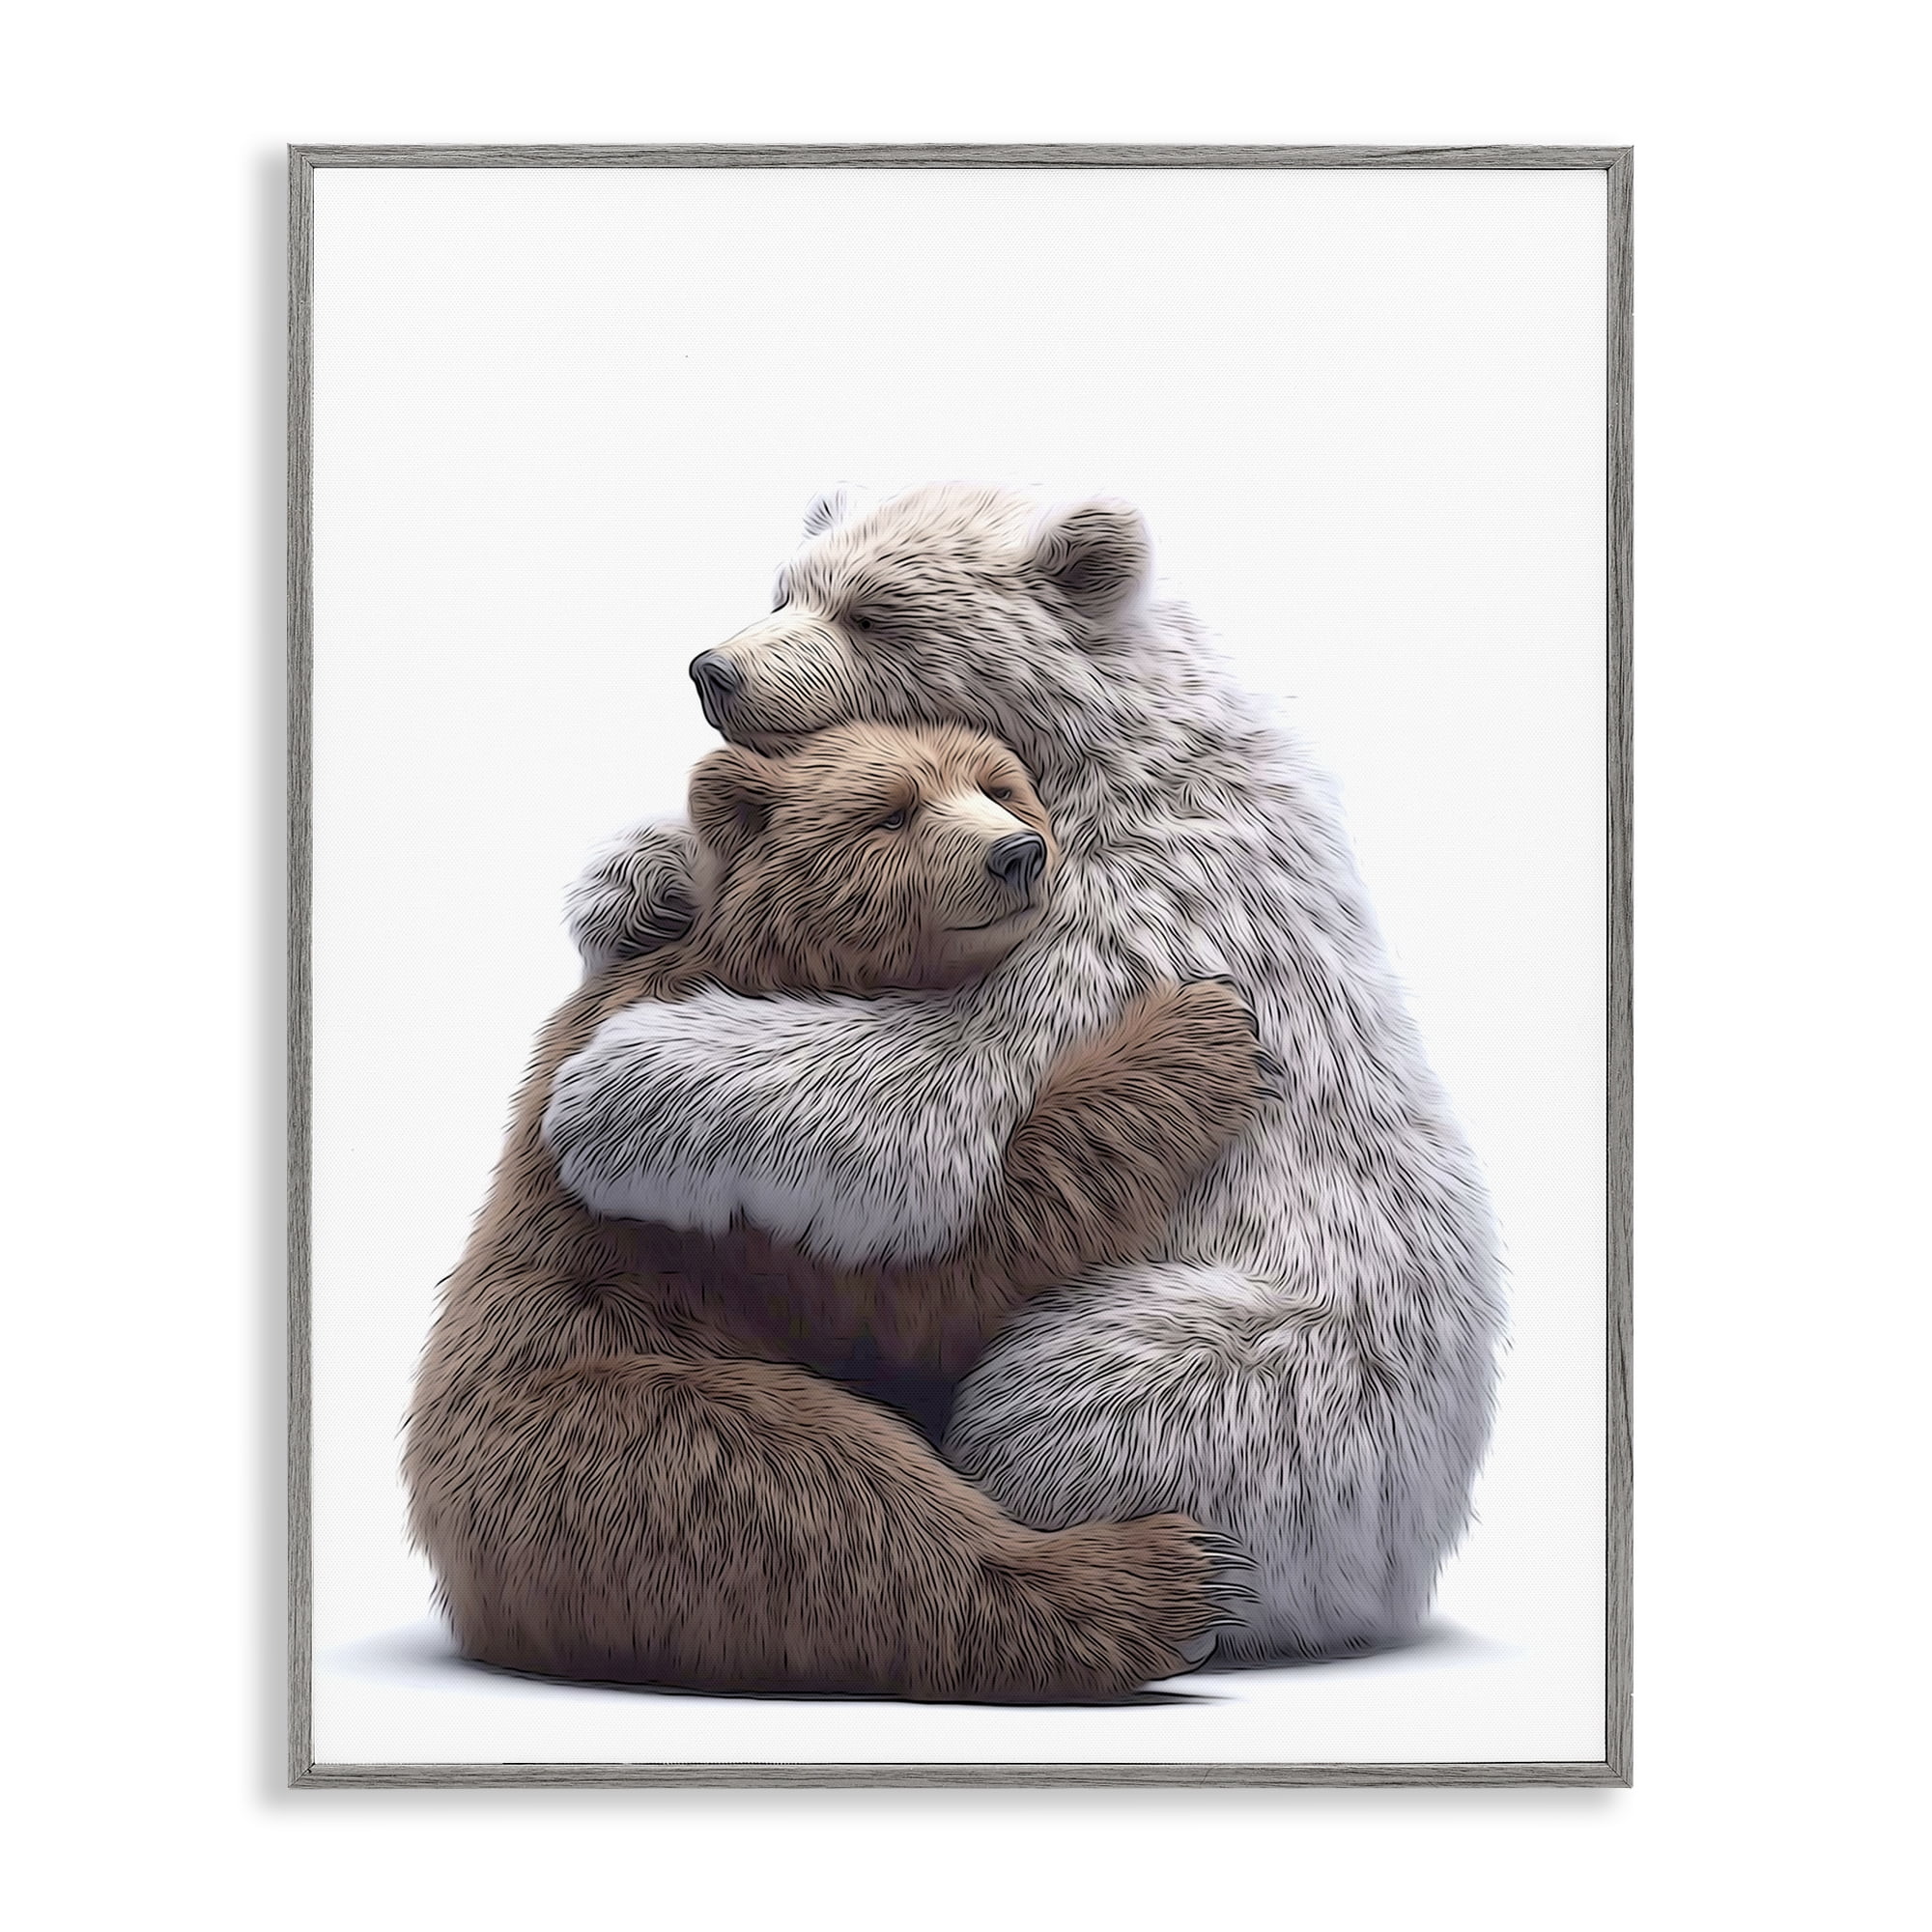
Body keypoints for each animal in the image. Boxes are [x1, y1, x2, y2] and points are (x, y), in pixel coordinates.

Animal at [404, 718, 1274, 1700]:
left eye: (999, 786)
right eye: (888, 812)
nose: (1016, 853)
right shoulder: (714, 1218)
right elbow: (930, 1278)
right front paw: (1197, 1029)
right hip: (598, 1419)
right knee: (815, 1488)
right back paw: (1170, 1577)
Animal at [545, 482, 1507, 1662]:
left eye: (873, 613)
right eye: (785, 588)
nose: (713, 669)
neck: (1107, 744)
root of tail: (1411, 1553)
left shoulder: (1135, 898)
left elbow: (942, 1077)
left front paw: (610, 1091)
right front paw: (636, 881)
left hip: (1276, 1368)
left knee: (1062, 1396)